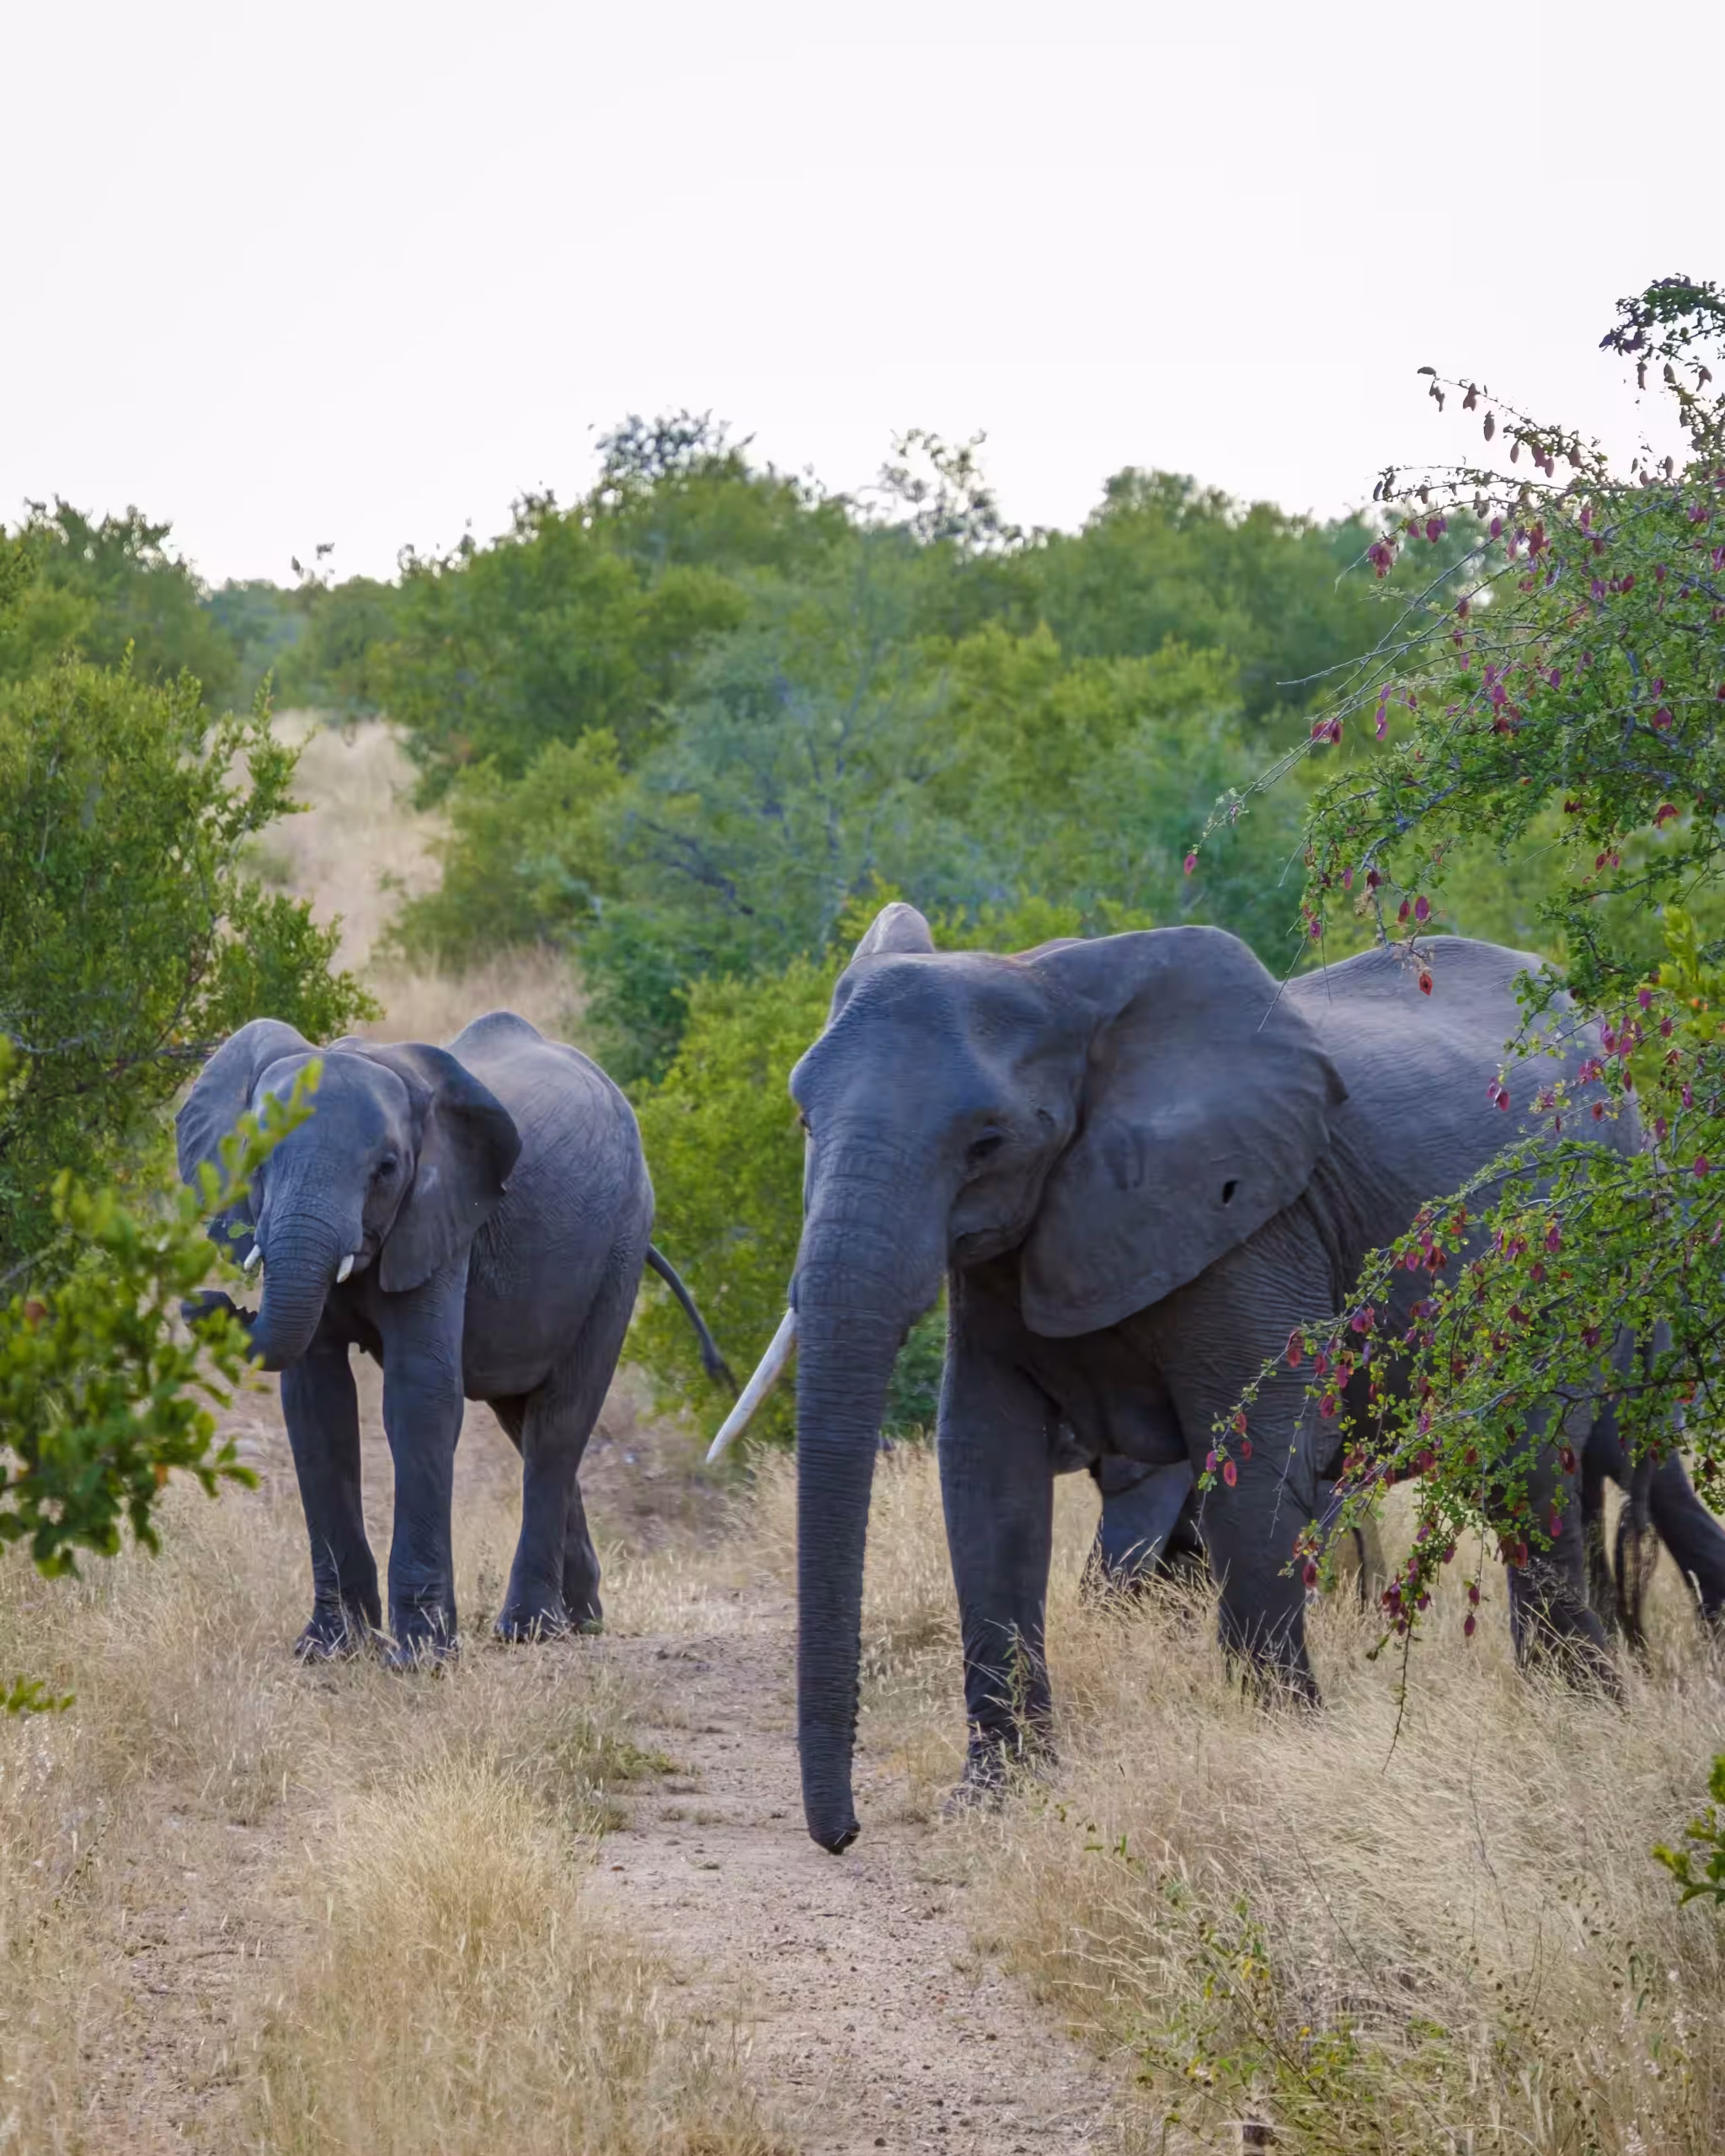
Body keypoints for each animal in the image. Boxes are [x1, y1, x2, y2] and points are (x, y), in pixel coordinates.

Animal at [178, 1011, 731, 1661]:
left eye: (386, 1170)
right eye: (256, 1161)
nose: (207, 1302)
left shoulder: (442, 1216)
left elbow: (420, 1395)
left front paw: (420, 1657)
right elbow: (317, 1404)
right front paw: (328, 1650)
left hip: (622, 1240)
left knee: (561, 1420)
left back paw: (531, 1629)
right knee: (524, 1421)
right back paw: (582, 1620)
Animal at [714, 903, 1725, 1853]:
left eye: (986, 1143)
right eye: (803, 1118)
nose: (843, 1834)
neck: (1054, 988)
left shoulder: (1253, 1224)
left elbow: (1257, 1456)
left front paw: (1286, 1761)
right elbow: (985, 1476)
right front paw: (999, 1802)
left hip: (1574, 1257)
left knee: (1529, 1473)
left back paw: (1579, 1715)